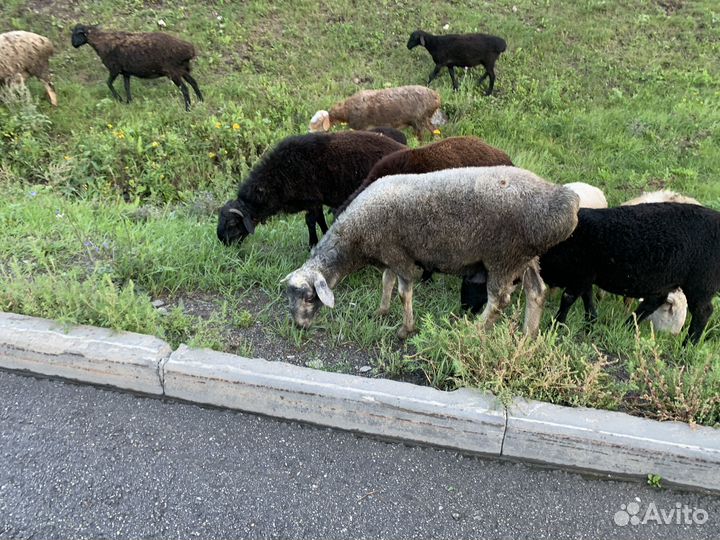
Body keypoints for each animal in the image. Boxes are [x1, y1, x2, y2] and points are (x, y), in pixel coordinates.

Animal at [71, 24, 203, 111]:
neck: (101, 41)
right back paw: (201, 101)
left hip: (173, 71)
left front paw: (119, 99)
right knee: (194, 83)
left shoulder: (114, 69)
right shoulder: (125, 72)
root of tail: (188, 49)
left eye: (76, 34)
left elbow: (108, 83)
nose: (73, 45)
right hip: (182, 69)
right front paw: (129, 102)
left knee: (184, 88)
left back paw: (188, 109)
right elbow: (126, 86)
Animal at [217, 131, 405, 248]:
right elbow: (320, 220)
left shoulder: (311, 198)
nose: (223, 243)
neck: (277, 175)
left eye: (232, 224)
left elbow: (310, 221)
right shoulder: (317, 200)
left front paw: (312, 244)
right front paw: (325, 235)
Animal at [284, 166, 580, 339]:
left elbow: (404, 292)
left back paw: (473, 329)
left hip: (504, 257)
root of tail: (565, 203)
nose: (299, 326)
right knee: (536, 291)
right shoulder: (390, 254)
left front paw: (405, 329)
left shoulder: (400, 257)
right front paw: (381, 311)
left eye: (309, 298)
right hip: (525, 257)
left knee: (499, 300)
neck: (354, 239)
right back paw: (528, 336)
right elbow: (386, 282)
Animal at [309, 85, 441, 140]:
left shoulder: (363, 127)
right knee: (434, 130)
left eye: (318, 123)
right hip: (424, 119)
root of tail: (437, 97)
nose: (308, 132)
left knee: (423, 135)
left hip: (419, 119)